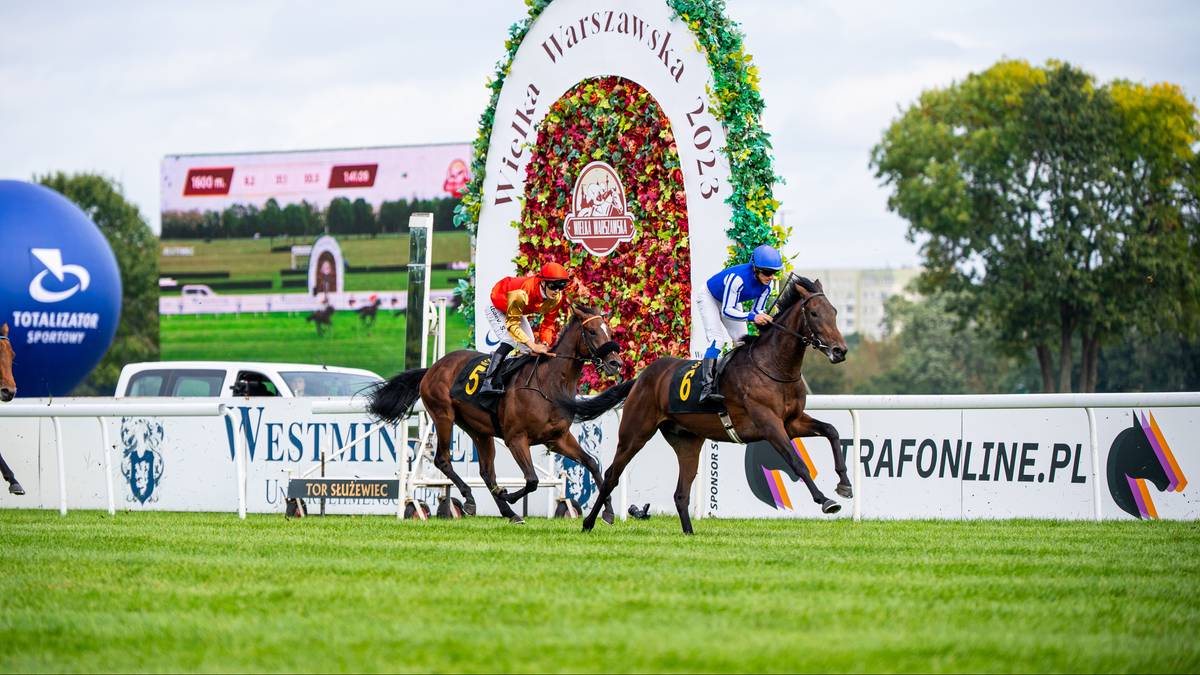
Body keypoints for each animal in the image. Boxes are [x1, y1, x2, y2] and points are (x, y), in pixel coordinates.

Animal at [364, 303, 628, 521]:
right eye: (592, 331)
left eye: (609, 330)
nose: (615, 363)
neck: (548, 384)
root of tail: (432, 368)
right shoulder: (516, 439)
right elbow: (532, 480)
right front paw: (508, 495)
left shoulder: (558, 439)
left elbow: (592, 463)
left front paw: (608, 511)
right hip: (443, 416)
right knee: (443, 460)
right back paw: (471, 499)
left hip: (479, 430)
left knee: (486, 472)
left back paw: (509, 513)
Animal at [561, 276, 854, 533]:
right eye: (814, 313)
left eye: (834, 312)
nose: (840, 351)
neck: (774, 367)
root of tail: (643, 377)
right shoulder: (769, 424)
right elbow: (797, 462)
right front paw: (826, 500)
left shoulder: (792, 421)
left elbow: (831, 431)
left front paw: (844, 484)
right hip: (635, 433)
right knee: (611, 475)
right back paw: (590, 522)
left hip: (687, 441)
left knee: (681, 492)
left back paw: (689, 533)